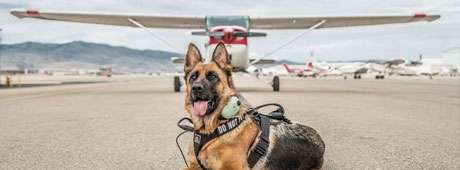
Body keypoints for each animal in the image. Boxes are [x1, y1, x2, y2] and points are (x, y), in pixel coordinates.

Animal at [184, 41, 328, 170]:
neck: (217, 126)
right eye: (193, 77)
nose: (196, 88)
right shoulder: (193, 165)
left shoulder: (235, 168)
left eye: (213, 77)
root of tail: (321, 141)